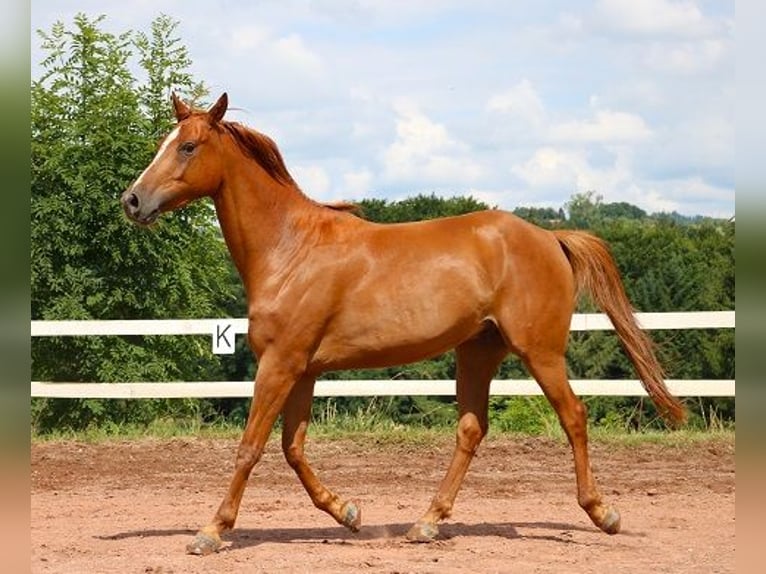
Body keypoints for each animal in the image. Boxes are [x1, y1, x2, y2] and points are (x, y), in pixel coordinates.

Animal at [121, 92, 685, 555]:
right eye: (165, 143)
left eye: (188, 146)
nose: (132, 200)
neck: (290, 249)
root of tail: (550, 238)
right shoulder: (303, 370)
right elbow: (292, 449)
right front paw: (348, 513)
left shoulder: (280, 364)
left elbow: (250, 448)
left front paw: (212, 531)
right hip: (478, 351)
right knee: (471, 429)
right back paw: (427, 523)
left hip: (540, 352)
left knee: (574, 417)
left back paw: (603, 513)